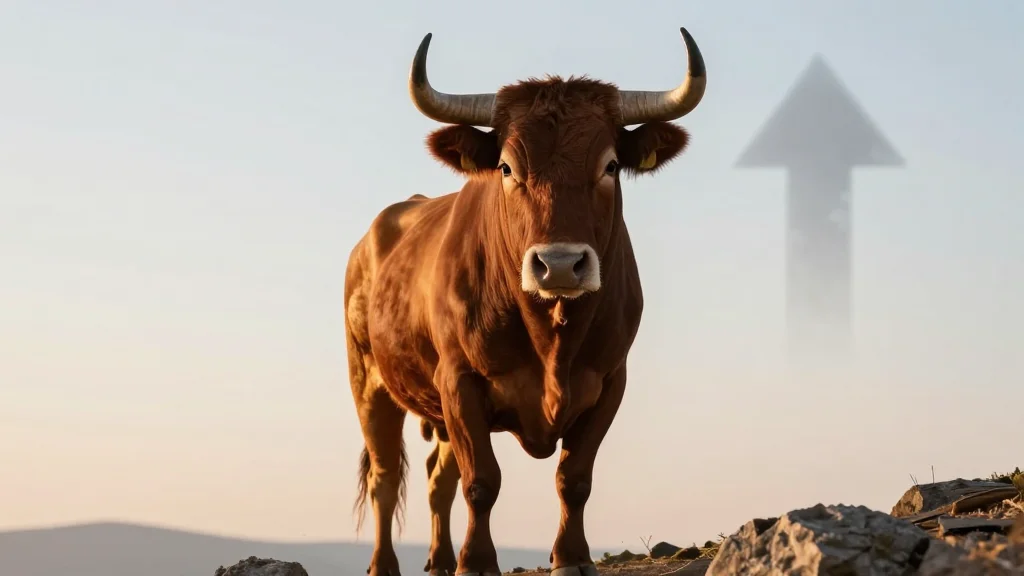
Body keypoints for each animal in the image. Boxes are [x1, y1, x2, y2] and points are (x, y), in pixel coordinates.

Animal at [344, 28, 706, 576]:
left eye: (611, 165)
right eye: (507, 167)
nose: (559, 264)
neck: (551, 335)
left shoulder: (609, 381)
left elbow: (574, 479)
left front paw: (571, 557)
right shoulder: (460, 381)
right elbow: (482, 481)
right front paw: (477, 562)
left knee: (436, 478)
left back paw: (439, 561)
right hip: (370, 383)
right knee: (387, 477)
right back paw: (386, 564)